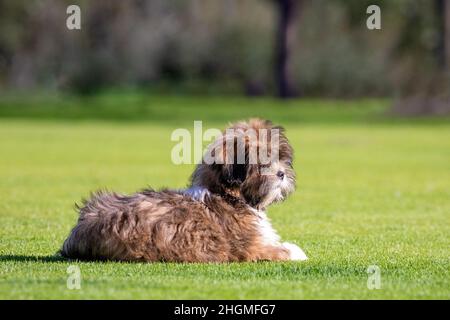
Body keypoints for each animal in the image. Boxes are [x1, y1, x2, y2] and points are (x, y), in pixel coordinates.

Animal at [60, 119, 310, 262]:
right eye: (261, 162)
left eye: (279, 157)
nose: (282, 173)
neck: (227, 195)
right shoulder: (251, 248)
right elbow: (281, 250)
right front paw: (296, 252)